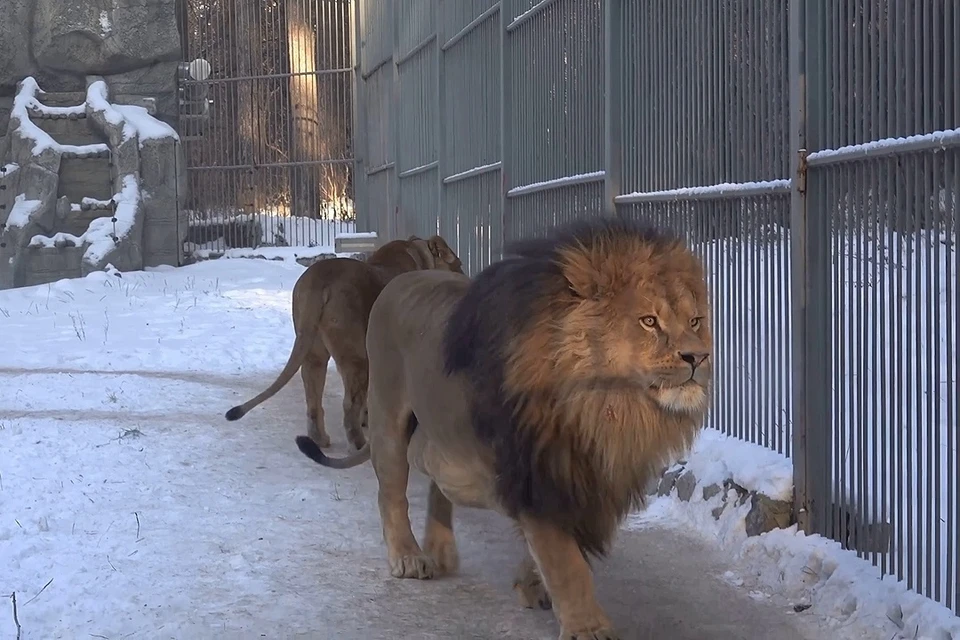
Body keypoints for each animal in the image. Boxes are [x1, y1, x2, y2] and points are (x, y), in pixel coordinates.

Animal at [227, 231, 464, 450]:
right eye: (458, 263)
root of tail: (319, 279)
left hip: (314, 350)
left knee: (313, 399)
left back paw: (320, 439)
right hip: (357, 355)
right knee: (348, 405)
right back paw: (358, 444)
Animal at [296, 218, 708, 636]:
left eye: (695, 321)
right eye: (649, 321)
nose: (700, 357)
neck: (606, 409)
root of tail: (397, 282)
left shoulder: (584, 477)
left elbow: (563, 547)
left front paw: (531, 584)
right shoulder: (535, 470)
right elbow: (566, 562)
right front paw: (588, 627)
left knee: (435, 471)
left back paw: (440, 550)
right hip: (386, 413)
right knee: (393, 490)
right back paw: (409, 557)